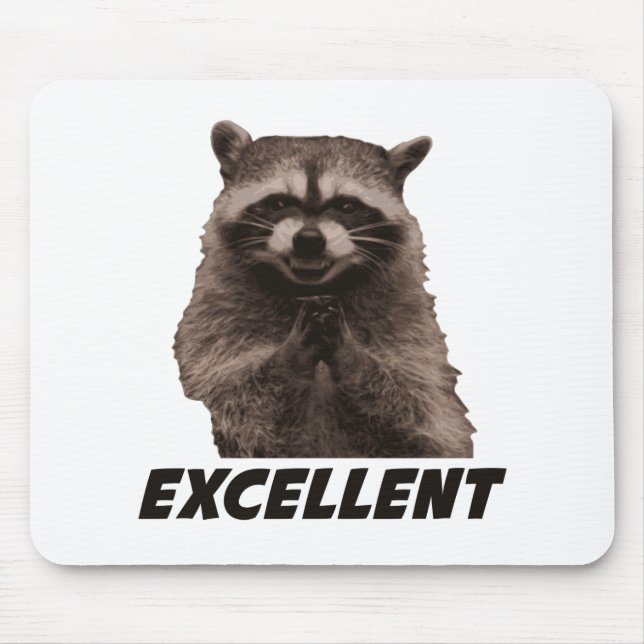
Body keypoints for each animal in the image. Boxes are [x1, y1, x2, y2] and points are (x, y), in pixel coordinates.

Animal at [174, 121, 475, 458]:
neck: (304, 289)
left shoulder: (410, 324)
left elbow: (425, 418)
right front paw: (289, 358)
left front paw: (353, 357)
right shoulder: (215, 318)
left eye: (347, 205)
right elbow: (234, 403)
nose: (309, 240)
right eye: (279, 202)